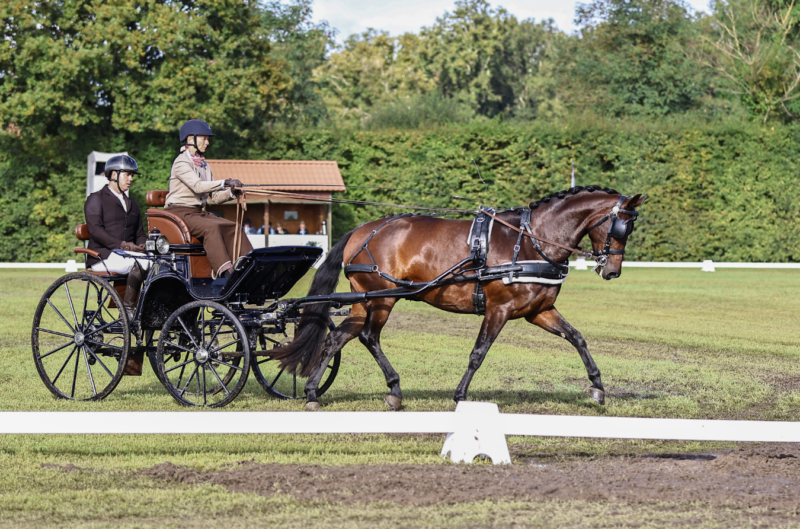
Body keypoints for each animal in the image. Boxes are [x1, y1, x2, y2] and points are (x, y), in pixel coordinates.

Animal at [272, 185, 648, 408]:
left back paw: (313, 393)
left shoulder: (539, 310)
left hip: (364, 301)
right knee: (367, 336)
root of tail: (363, 230)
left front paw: (597, 386)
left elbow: (577, 338)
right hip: (381, 299)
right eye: (621, 226)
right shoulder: (499, 309)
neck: (530, 240)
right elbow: (478, 353)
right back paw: (393, 389)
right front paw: (461, 396)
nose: (612, 271)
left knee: (337, 337)